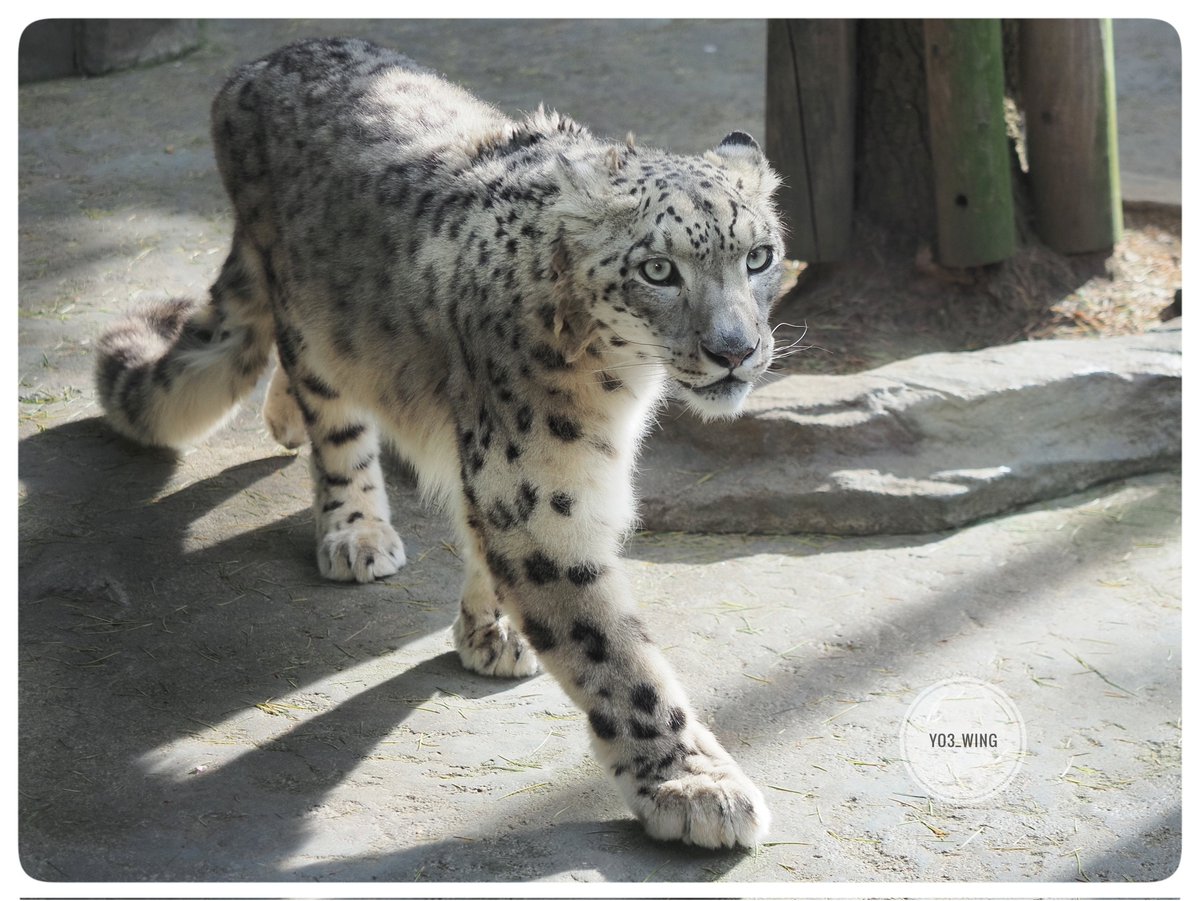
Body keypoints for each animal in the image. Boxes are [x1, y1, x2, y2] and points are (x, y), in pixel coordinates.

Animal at [96, 37, 787, 854]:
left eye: (759, 256)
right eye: (658, 269)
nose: (736, 351)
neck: (618, 389)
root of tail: (261, 60)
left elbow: (484, 539)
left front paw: (488, 630)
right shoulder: (541, 499)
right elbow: (614, 653)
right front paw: (693, 785)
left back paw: (285, 422)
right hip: (314, 321)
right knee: (333, 418)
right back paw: (354, 529)